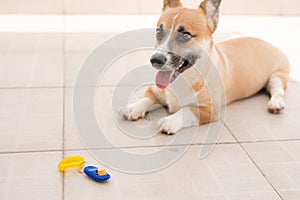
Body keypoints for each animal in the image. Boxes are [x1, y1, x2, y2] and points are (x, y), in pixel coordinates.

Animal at [118, 0, 290, 135]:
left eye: (185, 35)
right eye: (159, 32)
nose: (156, 60)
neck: (184, 78)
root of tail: (266, 41)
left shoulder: (209, 109)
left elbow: (187, 110)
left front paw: (171, 120)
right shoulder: (154, 90)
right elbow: (146, 98)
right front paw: (133, 108)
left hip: (277, 75)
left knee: (277, 90)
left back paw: (276, 103)